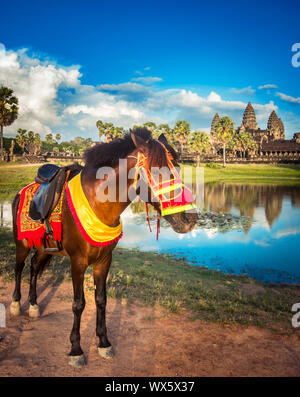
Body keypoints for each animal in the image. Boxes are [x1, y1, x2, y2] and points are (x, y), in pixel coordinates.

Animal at [9, 128, 197, 366]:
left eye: (179, 168)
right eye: (157, 172)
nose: (190, 218)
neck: (98, 204)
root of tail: (21, 191)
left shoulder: (104, 261)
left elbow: (101, 300)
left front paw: (103, 342)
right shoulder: (77, 263)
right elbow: (78, 304)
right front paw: (76, 349)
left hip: (43, 248)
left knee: (34, 267)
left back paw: (33, 305)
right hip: (22, 244)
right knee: (19, 268)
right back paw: (16, 305)